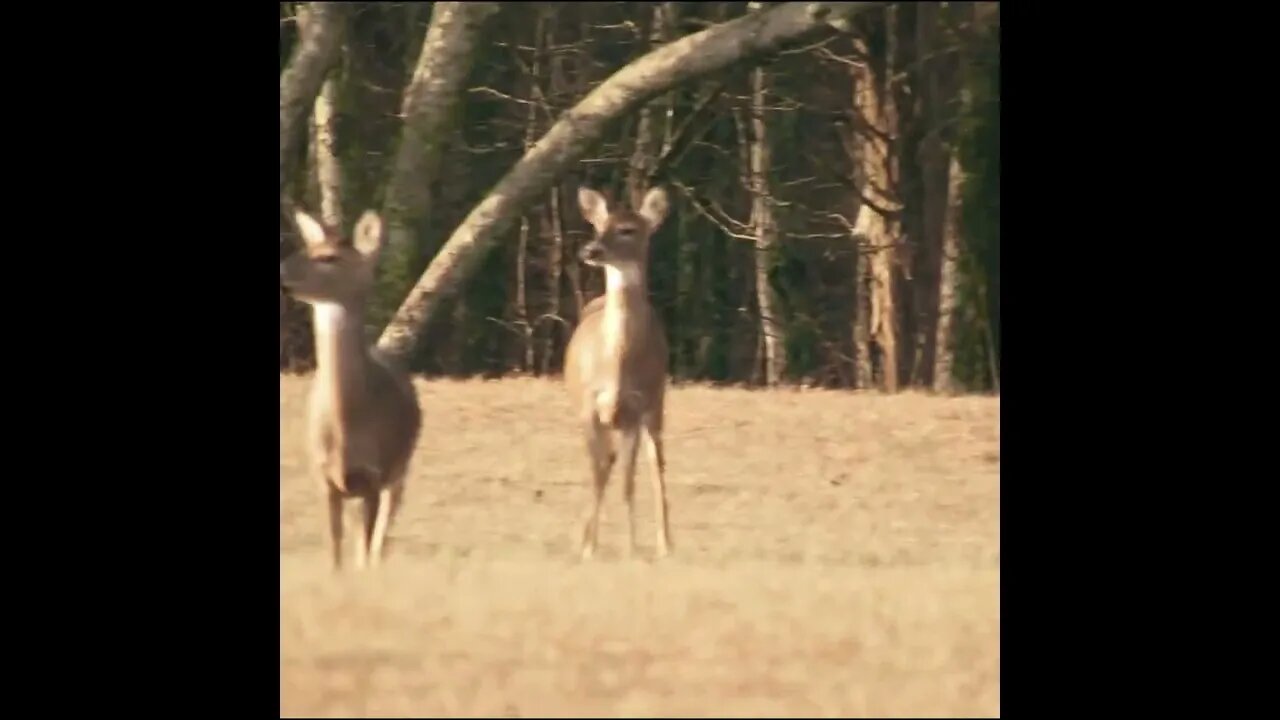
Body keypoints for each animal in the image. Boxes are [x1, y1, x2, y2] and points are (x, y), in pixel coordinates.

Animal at [279, 208, 419, 571]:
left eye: (329, 258)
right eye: (307, 247)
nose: (282, 272)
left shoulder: (373, 474)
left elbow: (367, 547)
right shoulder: (323, 476)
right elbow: (334, 548)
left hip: (401, 467)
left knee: (383, 531)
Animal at [565, 183, 675, 556]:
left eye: (628, 229)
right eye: (599, 225)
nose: (590, 249)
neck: (615, 365)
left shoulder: (634, 408)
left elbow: (629, 481)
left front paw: (632, 547)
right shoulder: (587, 405)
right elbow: (598, 474)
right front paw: (587, 547)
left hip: (657, 404)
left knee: (655, 466)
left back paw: (666, 544)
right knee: (608, 463)